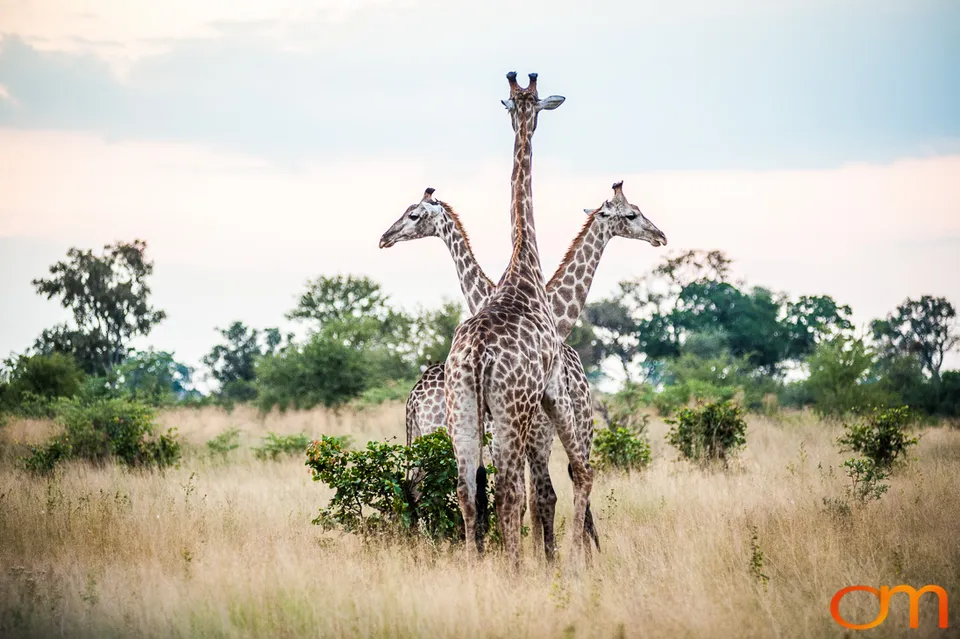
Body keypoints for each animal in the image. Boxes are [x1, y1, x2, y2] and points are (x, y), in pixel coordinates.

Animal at [379, 181, 666, 559]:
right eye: (632, 214)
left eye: (413, 214)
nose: (659, 235)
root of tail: (412, 399)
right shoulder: (529, 434)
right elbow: (531, 496)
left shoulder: (528, 434)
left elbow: (525, 497)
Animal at [442, 71, 588, 566]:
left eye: (524, 103)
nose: (525, 119)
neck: (523, 262)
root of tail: (477, 356)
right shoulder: (552, 387)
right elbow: (575, 473)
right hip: (511, 409)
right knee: (509, 490)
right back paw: (515, 568)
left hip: (461, 411)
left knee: (468, 491)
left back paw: (476, 567)